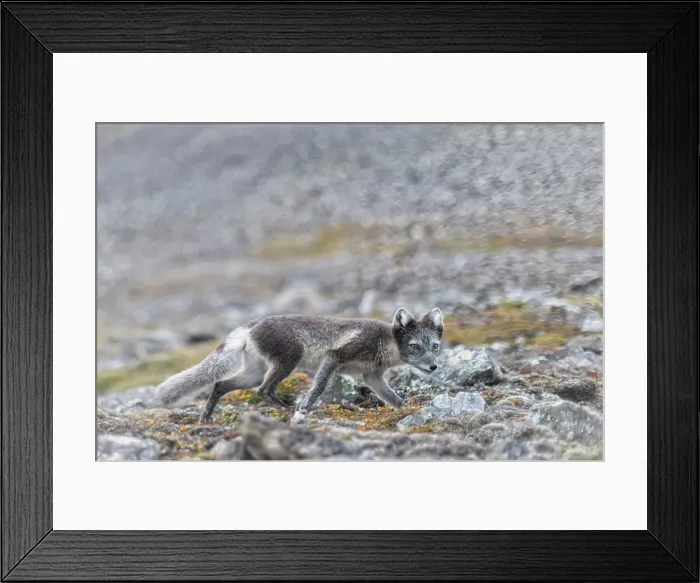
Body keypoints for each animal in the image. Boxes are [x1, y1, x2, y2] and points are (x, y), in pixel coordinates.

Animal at [153, 307, 444, 422]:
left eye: (435, 347)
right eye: (414, 346)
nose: (433, 368)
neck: (385, 342)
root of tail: (250, 325)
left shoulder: (371, 376)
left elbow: (393, 398)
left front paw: (407, 409)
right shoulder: (335, 356)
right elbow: (318, 387)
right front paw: (305, 408)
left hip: (253, 372)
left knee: (220, 384)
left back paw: (204, 418)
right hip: (287, 360)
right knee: (263, 391)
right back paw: (287, 410)